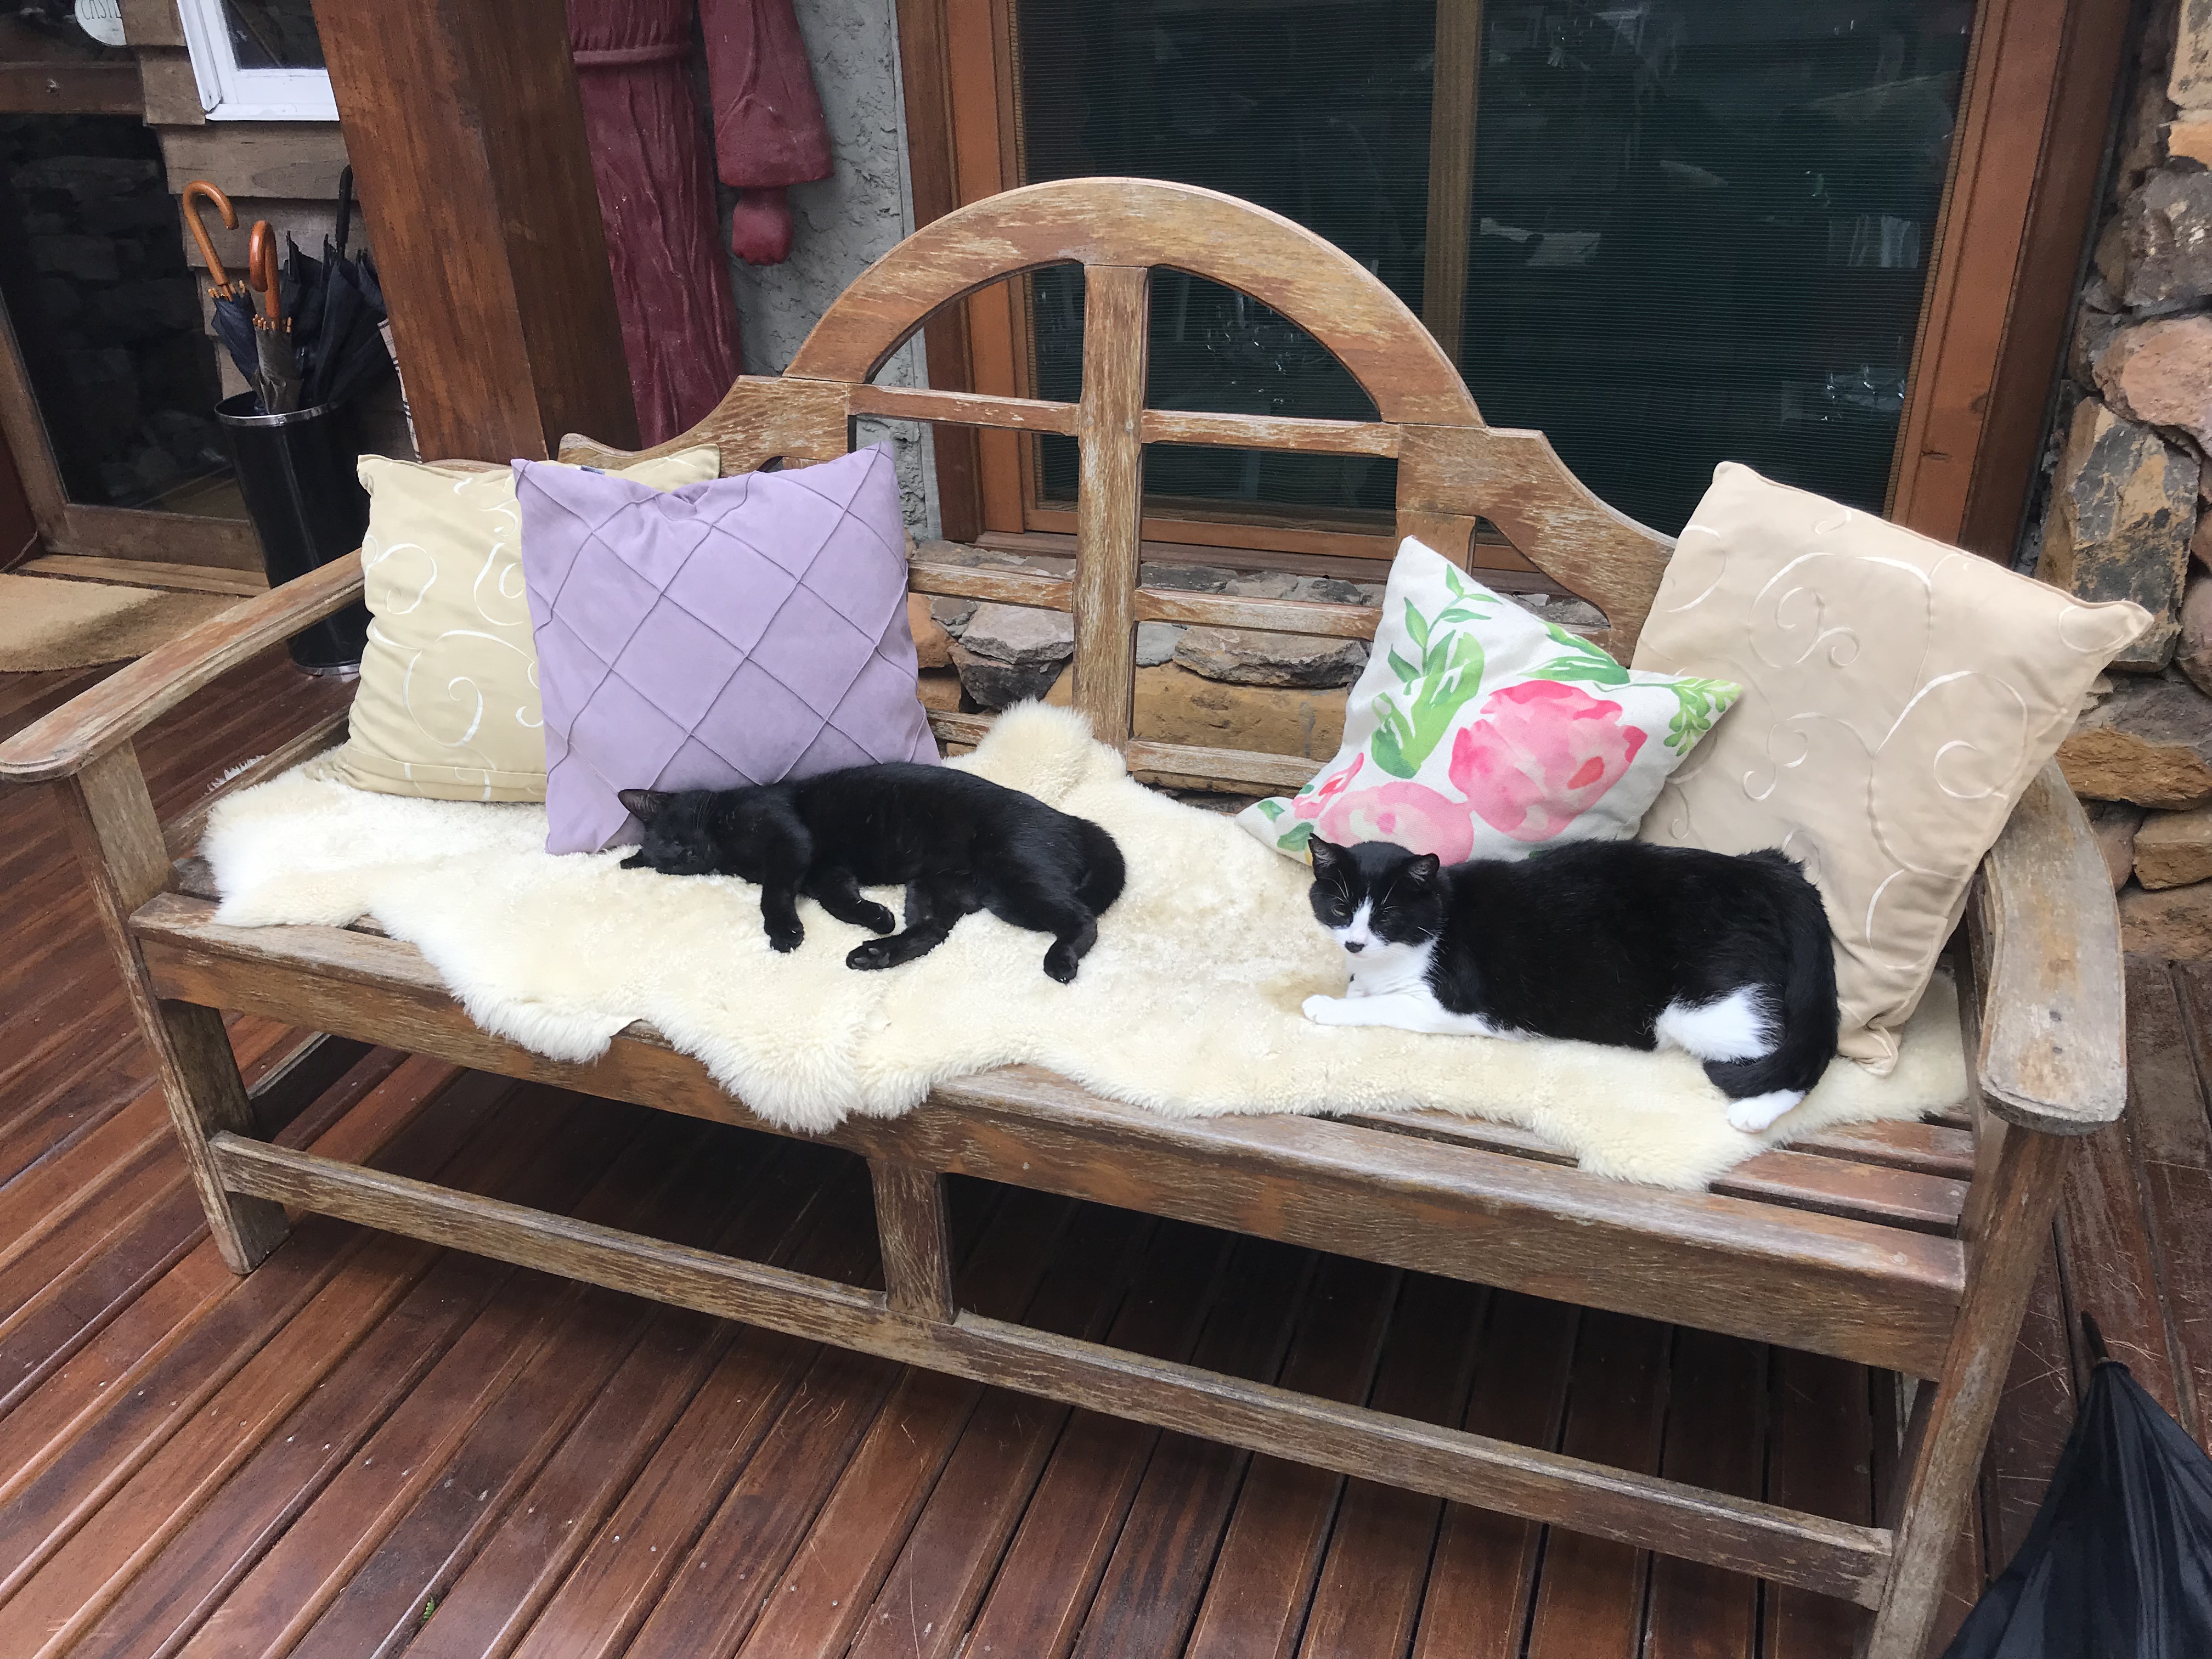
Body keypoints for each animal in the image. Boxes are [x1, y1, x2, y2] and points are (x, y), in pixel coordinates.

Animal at [616, 762, 1126, 983]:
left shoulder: (788, 839)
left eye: (672, 832)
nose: (684, 854)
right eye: (666, 859)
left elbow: (773, 893)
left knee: (1083, 918)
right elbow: (838, 900)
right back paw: (876, 953)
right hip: (939, 887)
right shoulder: (824, 870)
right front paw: (875, 917)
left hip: (1014, 876)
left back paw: (1060, 961)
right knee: (932, 932)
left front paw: (783, 931)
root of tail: (1071, 820)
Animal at [1298, 834, 1839, 1133]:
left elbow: (1379, 1006)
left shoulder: (1451, 1004)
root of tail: (1764, 869)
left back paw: (1755, 1112)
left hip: (1703, 1009)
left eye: (1387, 916)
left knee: (1796, 1056)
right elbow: (1364, 990)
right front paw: (1352, 987)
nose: (1356, 944)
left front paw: (1326, 1005)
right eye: (1341, 909)